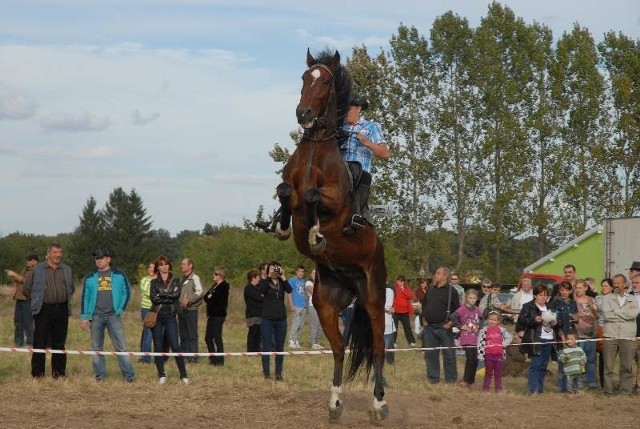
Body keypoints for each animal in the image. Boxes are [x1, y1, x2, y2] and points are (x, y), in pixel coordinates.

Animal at [272, 50, 388, 422]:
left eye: (324, 81)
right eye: (303, 78)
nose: (303, 115)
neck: (316, 149)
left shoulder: (333, 199)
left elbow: (313, 198)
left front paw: (316, 235)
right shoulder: (288, 190)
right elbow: (286, 192)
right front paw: (282, 226)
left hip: (373, 298)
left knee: (378, 348)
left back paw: (379, 404)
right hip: (325, 303)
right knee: (339, 350)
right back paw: (335, 403)